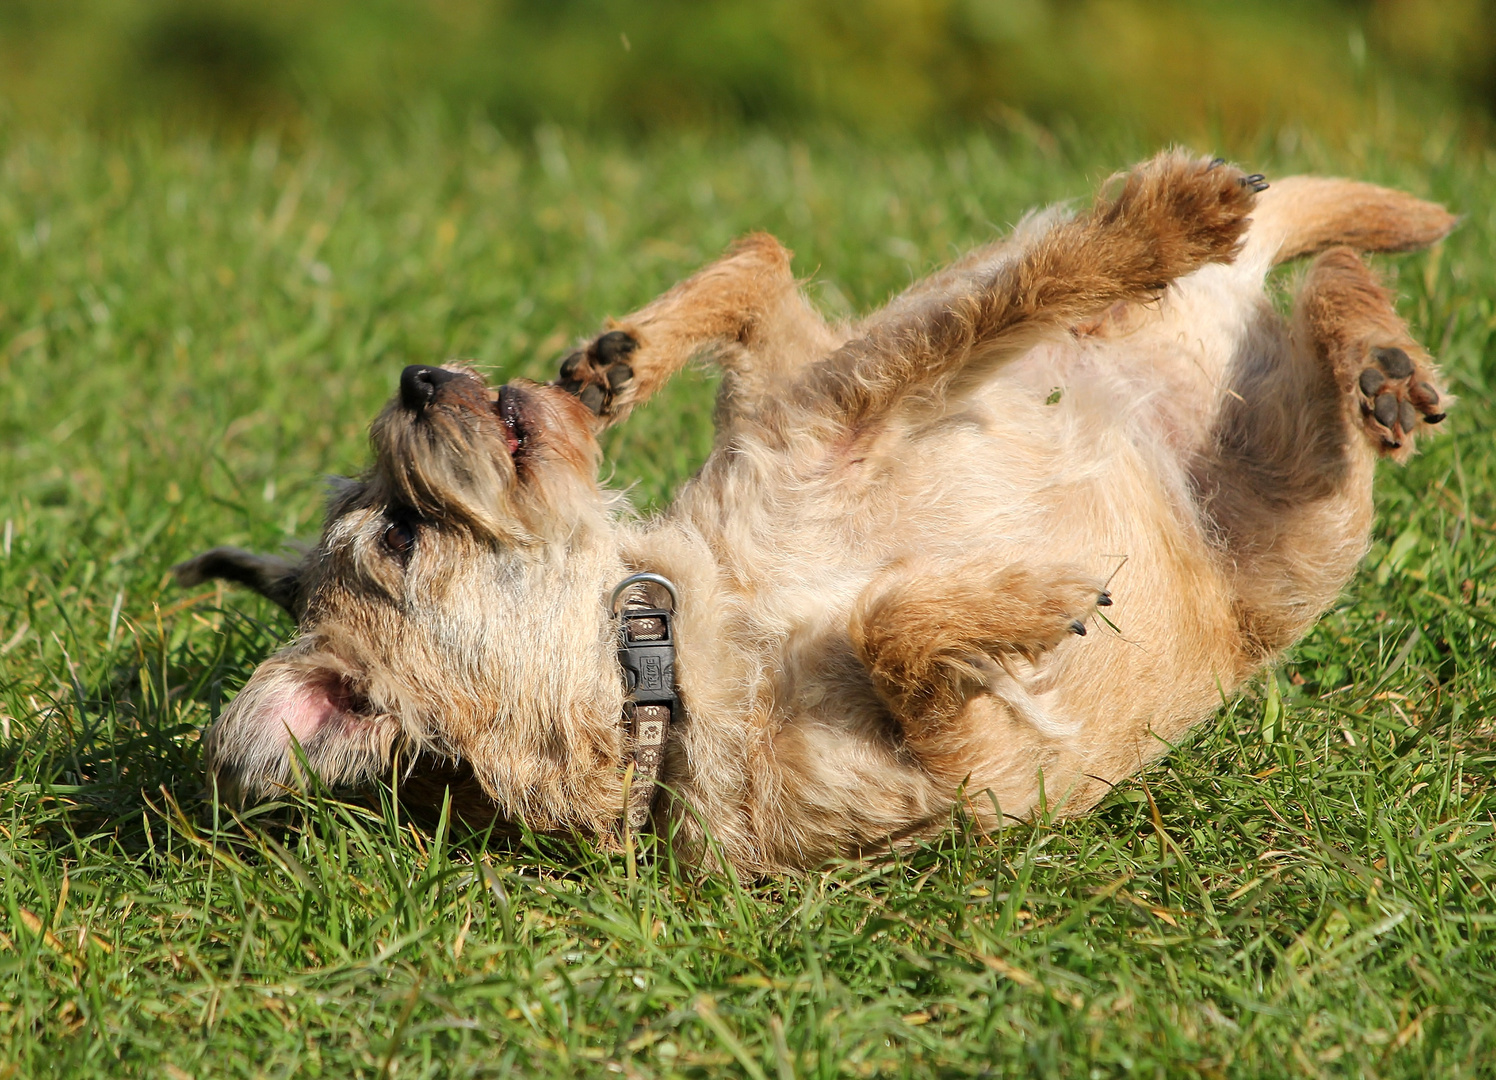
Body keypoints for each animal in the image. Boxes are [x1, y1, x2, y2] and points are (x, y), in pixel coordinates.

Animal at [172, 151, 1448, 873]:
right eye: (399, 535)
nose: (415, 381)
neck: (677, 647)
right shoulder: (966, 772)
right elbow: (896, 637)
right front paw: (1027, 602)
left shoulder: (828, 427)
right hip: (1300, 536)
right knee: (1297, 317)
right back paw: (1356, 352)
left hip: (842, 375)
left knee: (843, 271)